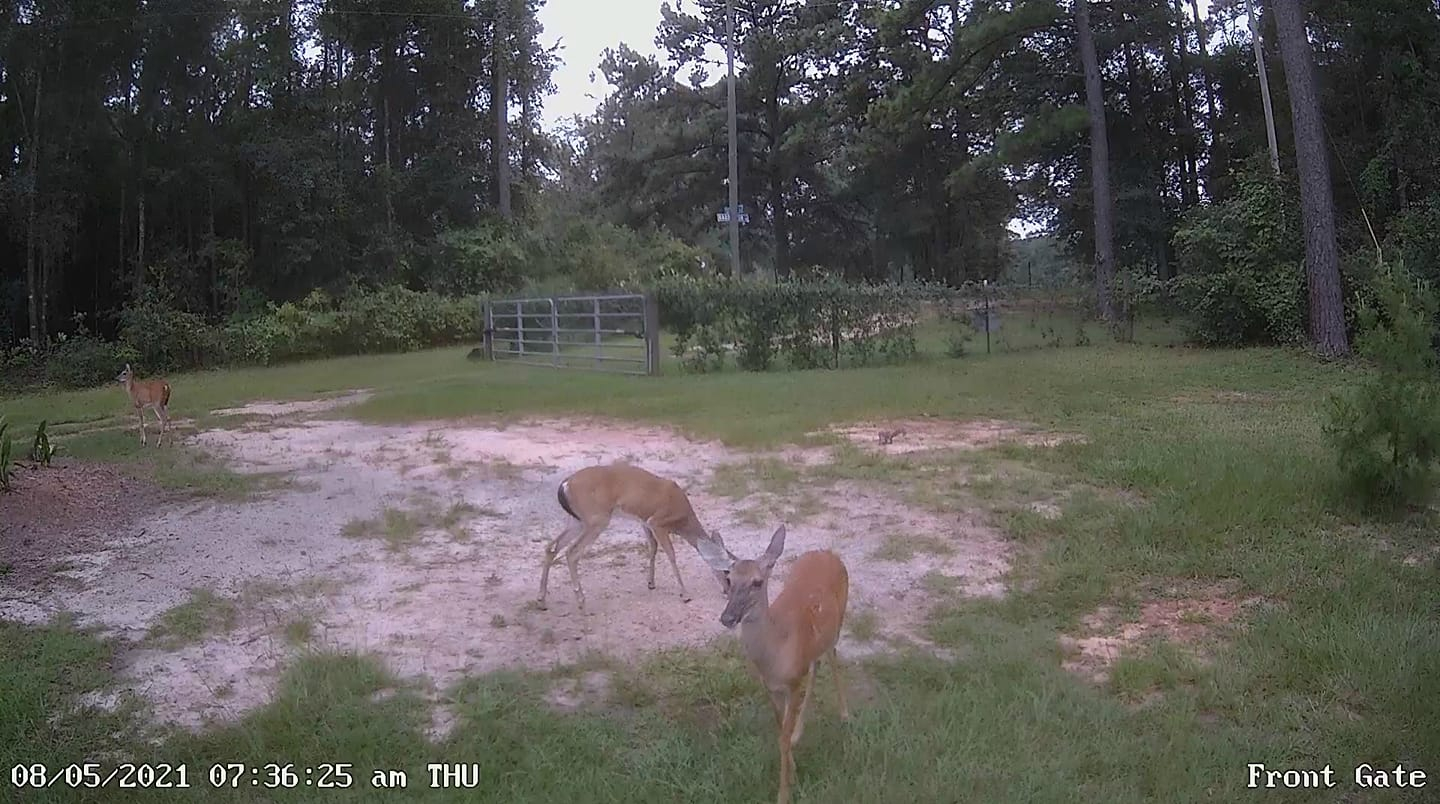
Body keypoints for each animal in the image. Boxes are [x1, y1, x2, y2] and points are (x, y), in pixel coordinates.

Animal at [538, 463, 731, 611]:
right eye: (727, 573)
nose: (728, 591)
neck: (683, 518)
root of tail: (565, 484)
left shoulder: (645, 522)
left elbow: (653, 548)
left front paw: (651, 583)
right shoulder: (657, 522)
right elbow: (671, 554)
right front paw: (685, 594)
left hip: (577, 520)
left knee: (551, 547)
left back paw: (542, 600)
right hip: (596, 519)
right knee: (571, 552)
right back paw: (581, 601)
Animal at [696, 525, 850, 804]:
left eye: (757, 582)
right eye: (729, 579)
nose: (728, 617)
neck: (776, 653)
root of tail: (828, 553)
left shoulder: (793, 682)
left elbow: (782, 737)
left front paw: (784, 793)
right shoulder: (770, 687)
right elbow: (781, 732)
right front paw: (794, 772)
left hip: (838, 621)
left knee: (832, 658)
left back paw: (844, 714)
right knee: (817, 665)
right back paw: (800, 731)